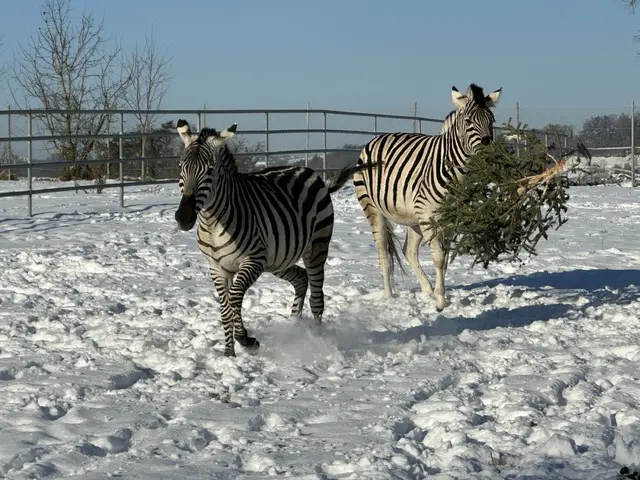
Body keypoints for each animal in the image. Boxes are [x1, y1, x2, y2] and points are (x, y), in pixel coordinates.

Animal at [174, 119, 368, 357]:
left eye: (210, 171)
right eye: (181, 167)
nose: (183, 218)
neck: (212, 222)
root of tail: (310, 172)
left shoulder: (253, 260)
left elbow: (235, 297)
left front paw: (247, 340)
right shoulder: (217, 267)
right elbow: (225, 309)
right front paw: (229, 353)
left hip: (316, 247)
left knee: (317, 298)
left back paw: (317, 338)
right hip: (278, 258)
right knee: (301, 278)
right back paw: (294, 328)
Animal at [352, 83, 502, 312]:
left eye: (491, 121)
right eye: (468, 121)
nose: (488, 153)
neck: (455, 171)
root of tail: (376, 139)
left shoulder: (450, 220)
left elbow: (445, 259)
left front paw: (440, 295)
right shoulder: (429, 217)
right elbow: (438, 258)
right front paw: (440, 302)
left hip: (413, 218)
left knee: (408, 251)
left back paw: (427, 290)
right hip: (374, 209)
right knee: (383, 253)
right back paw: (389, 296)